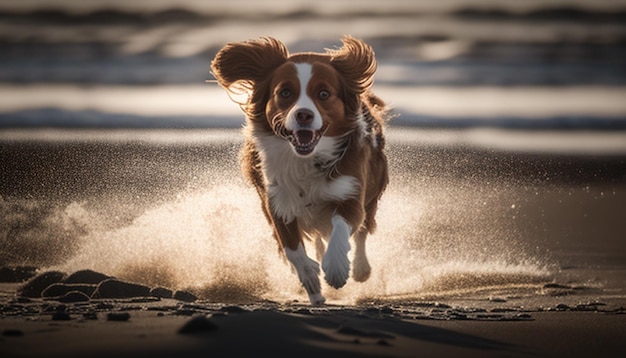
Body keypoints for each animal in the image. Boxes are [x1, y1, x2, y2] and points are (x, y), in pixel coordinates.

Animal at [210, 35, 386, 304]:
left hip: (373, 193)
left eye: (324, 93)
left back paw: (360, 269)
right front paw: (311, 280)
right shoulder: (276, 201)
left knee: (362, 232)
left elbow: (342, 227)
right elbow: (292, 248)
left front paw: (336, 269)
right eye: (285, 92)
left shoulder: (350, 191)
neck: (306, 159)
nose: (304, 114)